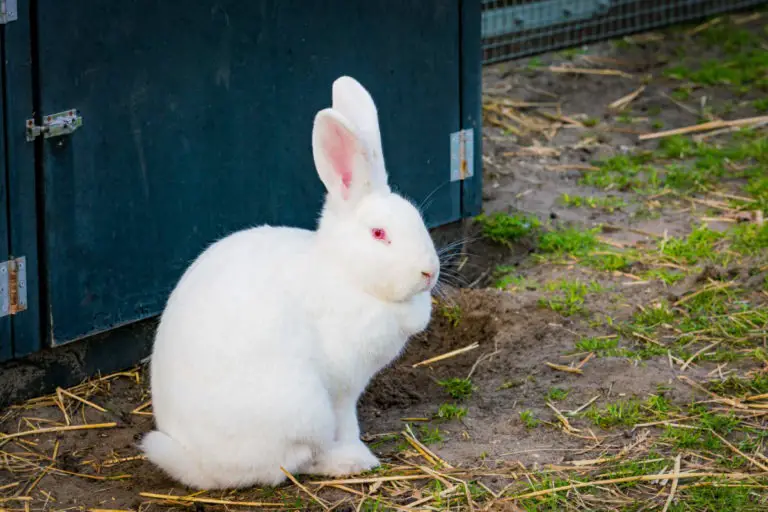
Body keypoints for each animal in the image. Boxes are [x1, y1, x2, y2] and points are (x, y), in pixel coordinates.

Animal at [139, 75, 438, 488]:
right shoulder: (342, 388)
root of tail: (200, 465)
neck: (345, 272)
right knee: (289, 464)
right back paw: (348, 462)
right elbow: (343, 423)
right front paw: (356, 449)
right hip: (302, 407)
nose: (430, 272)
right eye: (379, 234)